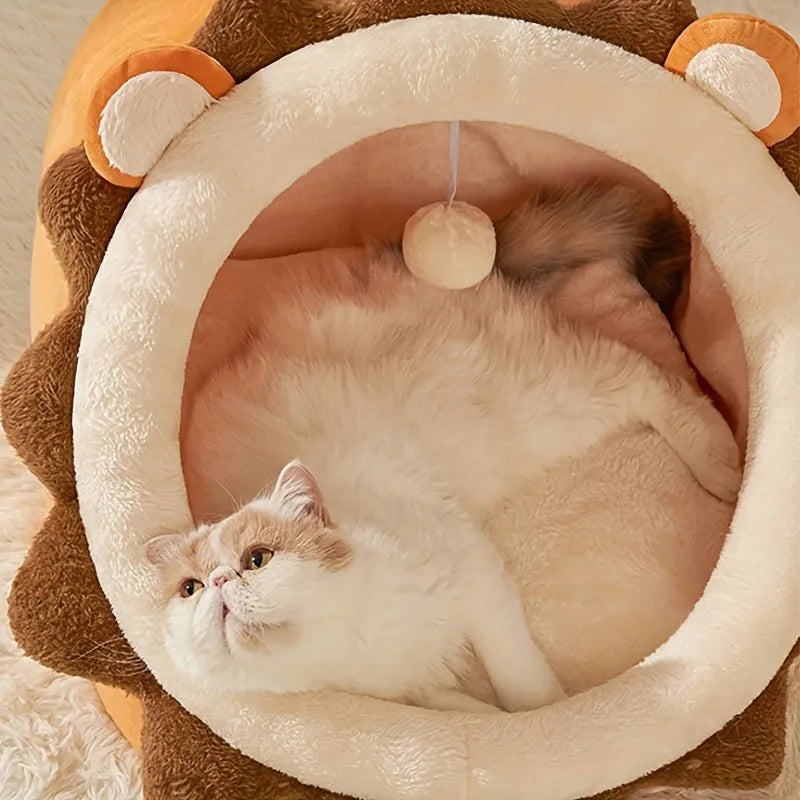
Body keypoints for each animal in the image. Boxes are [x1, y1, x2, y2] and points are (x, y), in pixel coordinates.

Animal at [147, 181, 740, 712]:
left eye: (257, 558)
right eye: (190, 589)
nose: (221, 580)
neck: (346, 641)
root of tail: (399, 266)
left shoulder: (471, 570)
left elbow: (520, 682)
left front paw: (546, 722)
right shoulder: (420, 693)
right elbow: (473, 711)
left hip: (530, 409)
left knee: (649, 379)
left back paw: (725, 469)